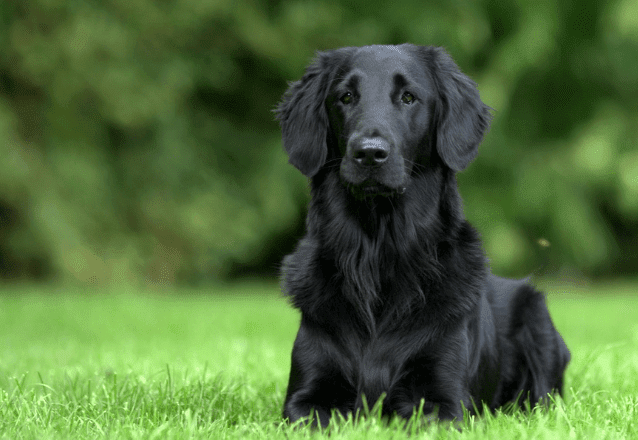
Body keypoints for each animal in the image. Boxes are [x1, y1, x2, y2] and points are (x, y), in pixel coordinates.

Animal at [276, 43, 568, 426]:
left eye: (409, 97)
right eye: (346, 97)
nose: (369, 153)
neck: (377, 254)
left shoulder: (444, 401)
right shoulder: (305, 398)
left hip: (538, 325)